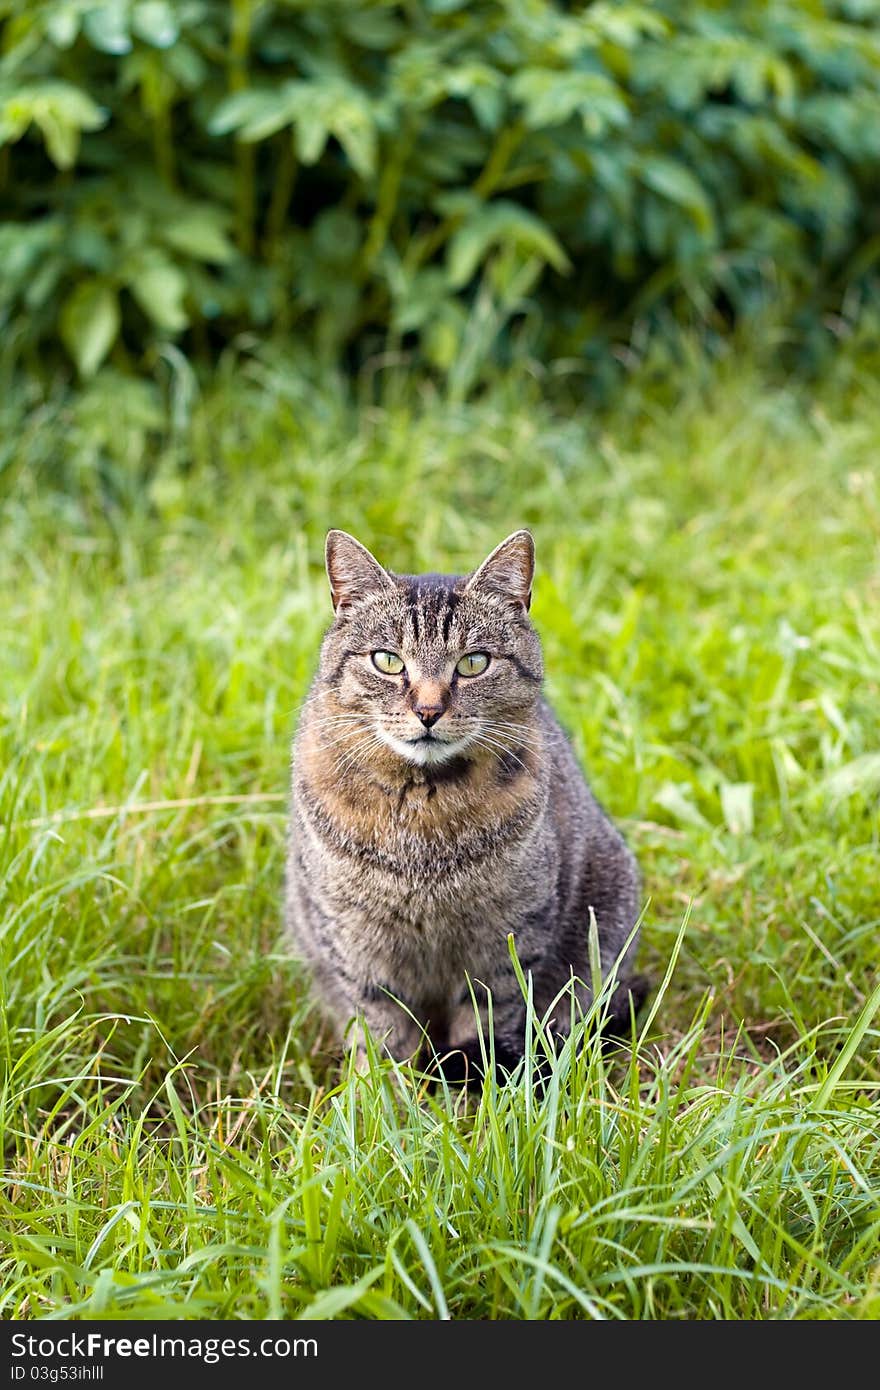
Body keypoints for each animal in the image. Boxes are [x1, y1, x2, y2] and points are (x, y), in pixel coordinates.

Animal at [286, 525, 645, 1078]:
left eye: (473, 663)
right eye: (387, 661)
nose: (428, 710)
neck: (423, 812)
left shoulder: (507, 939)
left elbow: (486, 1019)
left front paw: (472, 1085)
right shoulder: (353, 939)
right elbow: (381, 1029)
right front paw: (380, 1090)